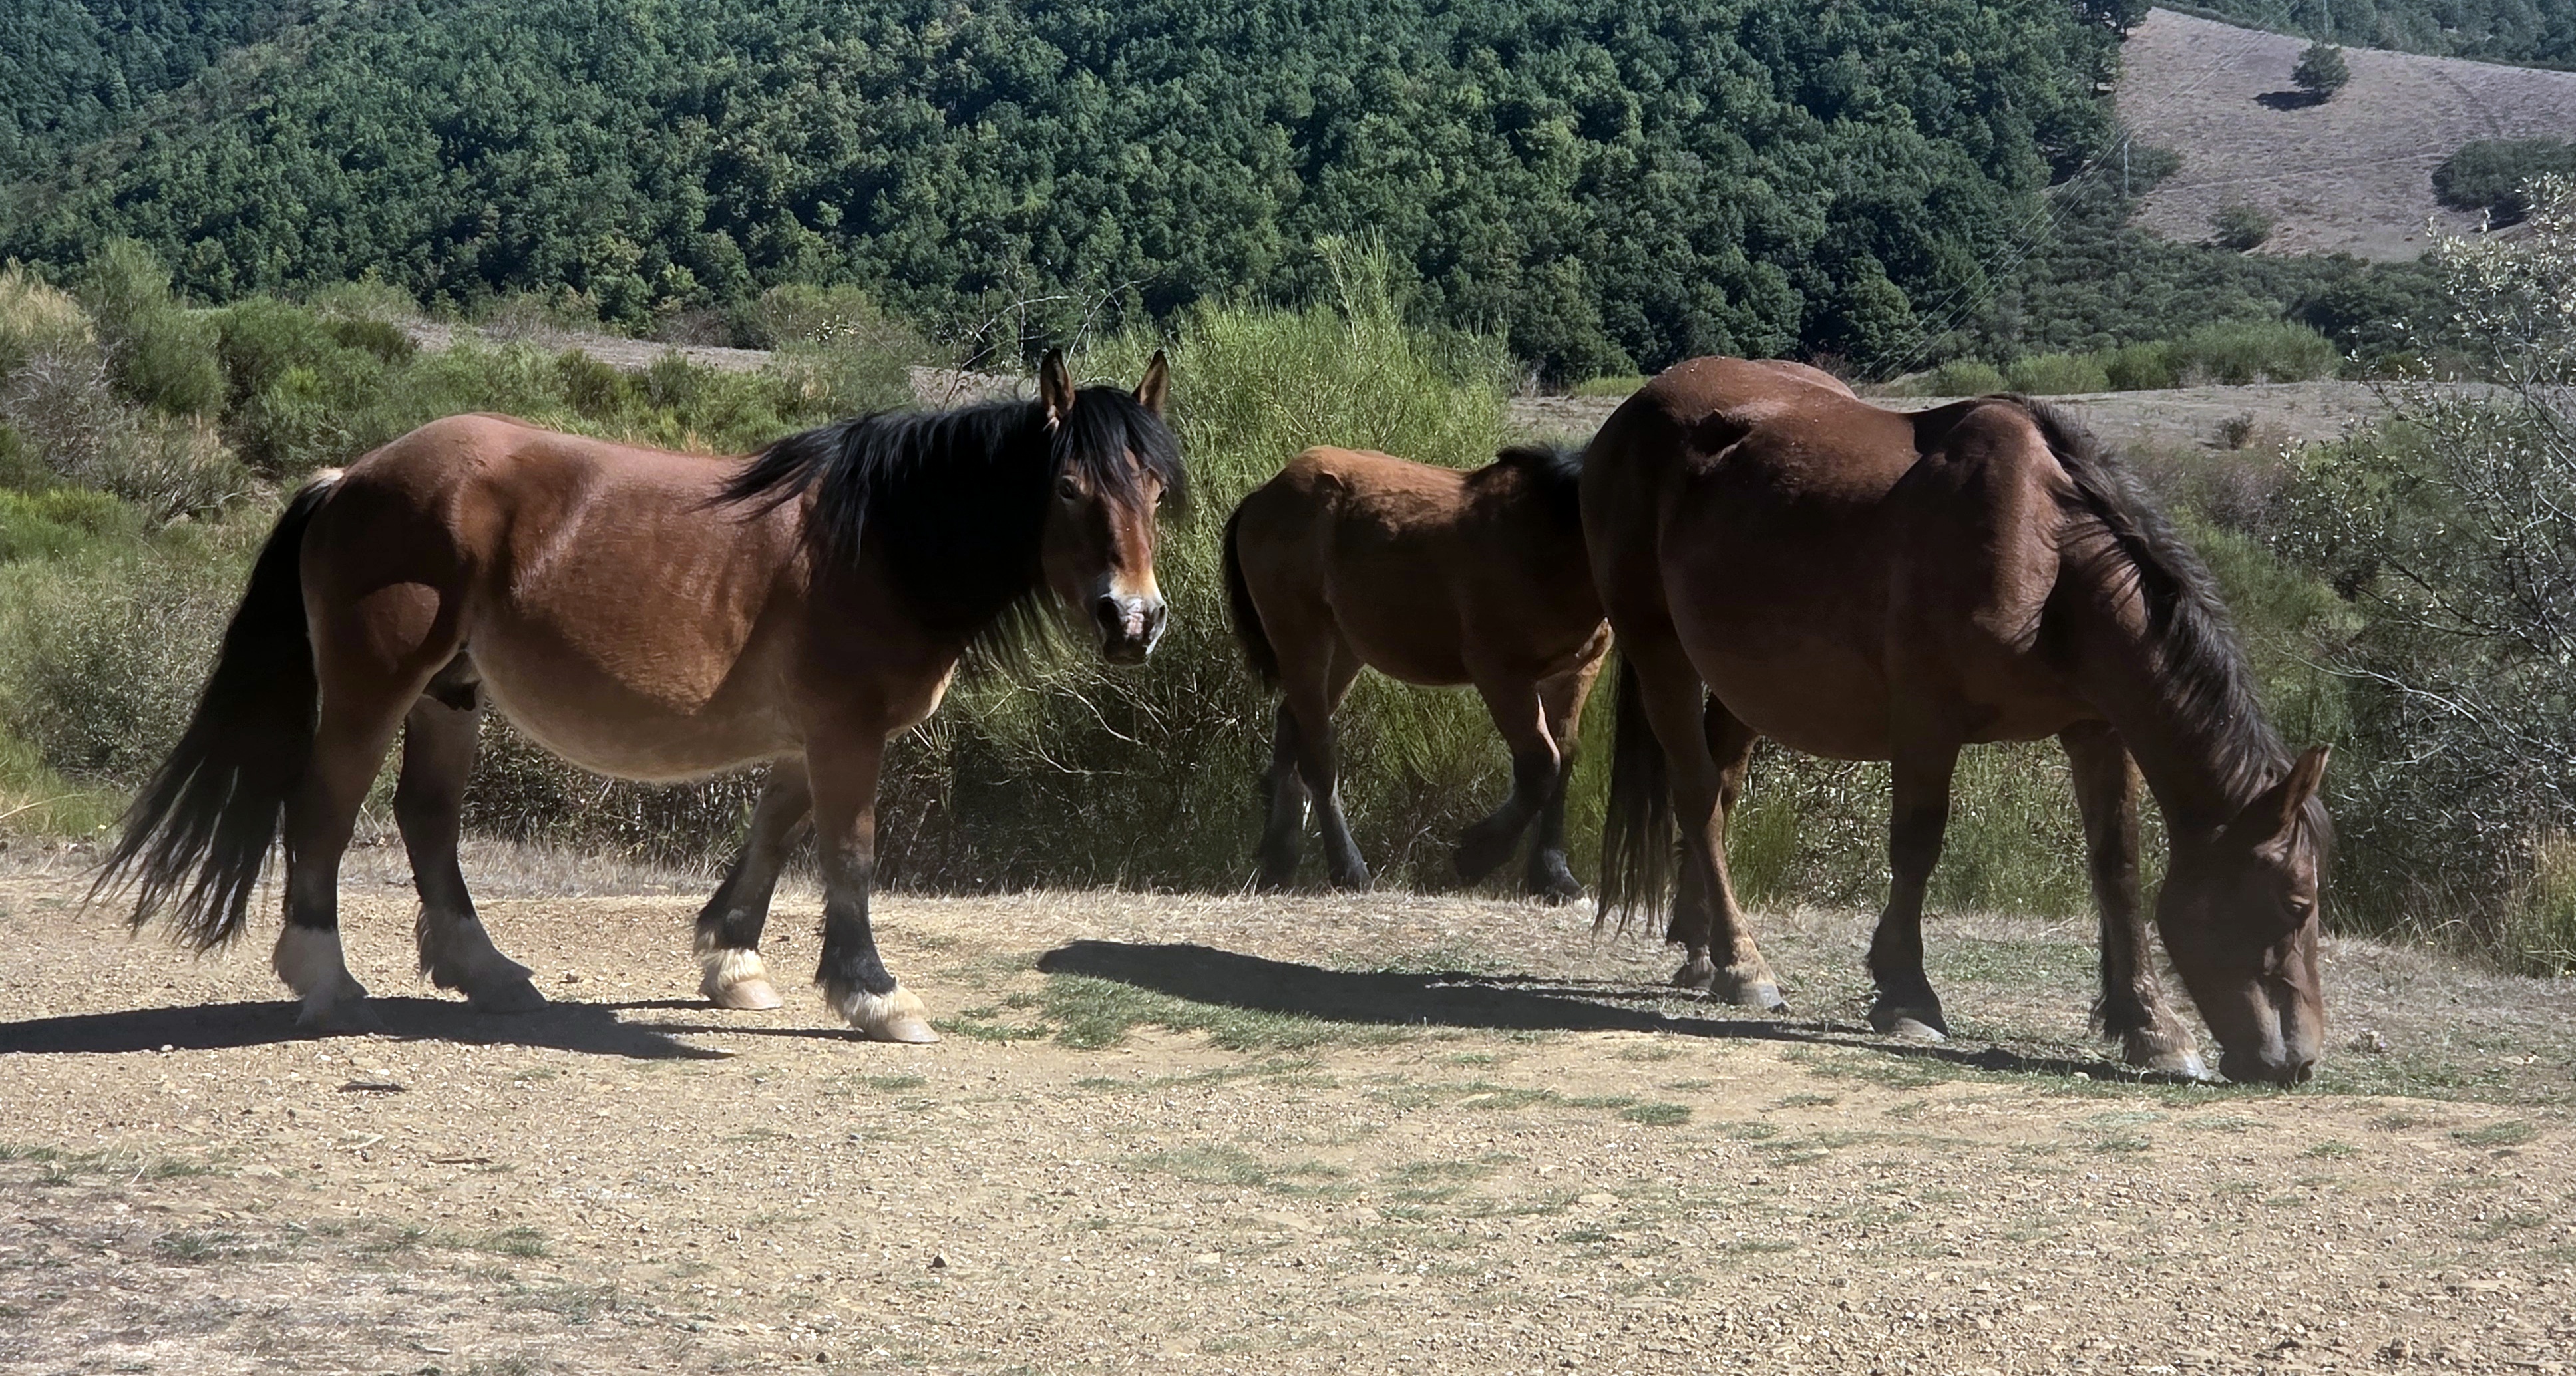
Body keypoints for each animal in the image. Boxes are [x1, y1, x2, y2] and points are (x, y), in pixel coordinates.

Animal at [96, 350, 1180, 1043]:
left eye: (1158, 491)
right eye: (1070, 487)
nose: (1133, 620)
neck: (877, 540)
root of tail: (351, 475)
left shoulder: (806, 736)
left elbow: (772, 837)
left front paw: (734, 964)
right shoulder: (846, 733)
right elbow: (849, 854)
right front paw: (876, 996)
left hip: (451, 695)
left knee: (426, 819)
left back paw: (487, 973)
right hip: (375, 691)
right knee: (325, 809)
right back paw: (327, 978)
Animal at [1222, 444, 1609, 899]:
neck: (1547, 537)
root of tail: (1264, 495)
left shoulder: (1575, 675)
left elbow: (1564, 761)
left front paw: (1553, 874)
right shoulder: (1501, 675)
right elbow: (1540, 766)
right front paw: (1478, 854)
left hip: (1344, 651)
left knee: (1291, 726)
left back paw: (1280, 856)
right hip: (1302, 639)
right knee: (1317, 751)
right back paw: (1349, 868)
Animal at [1583, 357, 2331, 1086]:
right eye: (2295, 905)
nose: (2298, 1061)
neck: (2045, 553)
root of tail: (1638, 407)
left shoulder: (2098, 730)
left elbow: (2116, 864)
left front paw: (2150, 1027)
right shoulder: (1926, 721)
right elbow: (1917, 845)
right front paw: (1906, 995)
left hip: (1742, 683)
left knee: (1722, 785)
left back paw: (1701, 947)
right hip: (1659, 650)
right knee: (1698, 795)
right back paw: (1742, 964)